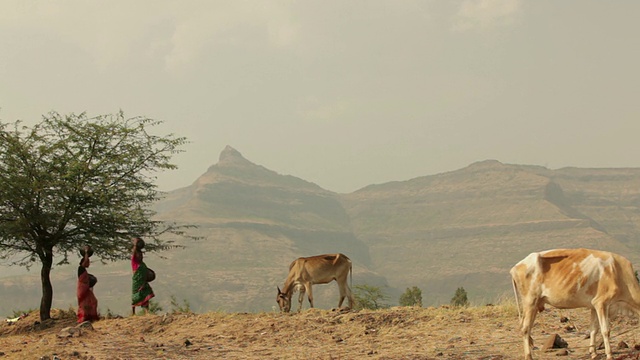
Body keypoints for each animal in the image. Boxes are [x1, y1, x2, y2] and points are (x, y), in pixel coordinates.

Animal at [512, 249, 640, 358]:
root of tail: (515, 267)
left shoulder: (594, 306)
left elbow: (594, 329)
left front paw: (593, 353)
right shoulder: (601, 303)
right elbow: (605, 330)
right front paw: (609, 355)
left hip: (534, 305)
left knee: (527, 328)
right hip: (530, 302)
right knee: (525, 329)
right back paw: (528, 356)